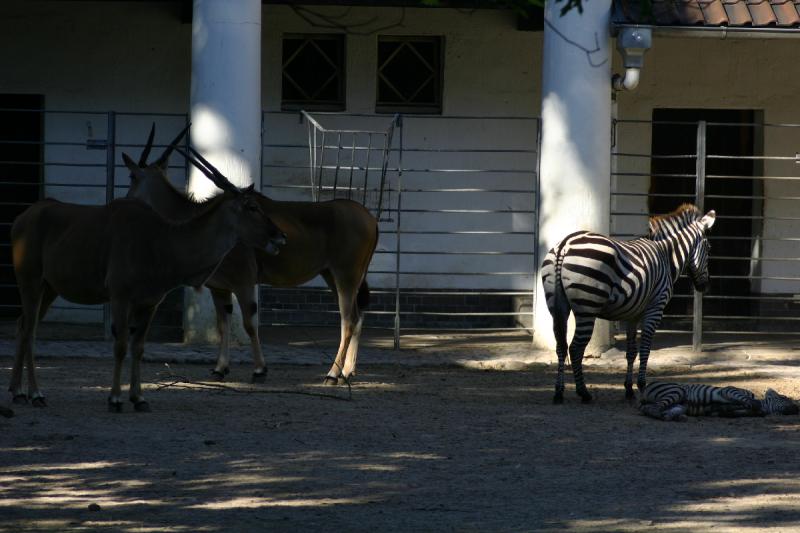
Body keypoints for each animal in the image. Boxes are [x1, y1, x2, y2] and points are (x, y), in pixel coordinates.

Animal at [9, 140, 286, 408]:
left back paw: (18, 392)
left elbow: (139, 347)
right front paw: (115, 399)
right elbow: (121, 345)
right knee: (30, 330)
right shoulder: (120, 296)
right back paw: (36, 394)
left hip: (49, 289)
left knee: (23, 325)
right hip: (30, 281)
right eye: (251, 207)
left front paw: (138, 398)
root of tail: (22, 218)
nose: (280, 236)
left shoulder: (149, 303)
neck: (162, 239)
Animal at [130, 124, 380, 382]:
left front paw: (260, 369)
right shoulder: (219, 288)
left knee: (348, 320)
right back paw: (347, 371)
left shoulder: (244, 282)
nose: (127, 201)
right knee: (357, 316)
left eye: (132, 177)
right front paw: (220, 368)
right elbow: (223, 326)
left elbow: (249, 325)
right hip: (332, 276)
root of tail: (371, 219)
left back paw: (332, 373)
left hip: (345, 276)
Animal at [540, 204, 716, 404]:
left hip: (557, 306)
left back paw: (559, 392)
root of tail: (565, 244)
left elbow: (631, 352)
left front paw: (629, 389)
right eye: (709, 248)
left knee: (561, 347)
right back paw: (583, 392)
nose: (704, 286)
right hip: (587, 307)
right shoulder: (656, 307)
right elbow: (645, 348)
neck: (666, 256)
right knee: (576, 348)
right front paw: (642, 385)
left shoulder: (633, 314)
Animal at [636, 380, 800, 422]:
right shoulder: (729, 390)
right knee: (653, 408)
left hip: (679, 404)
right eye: (785, 397)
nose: (796, 409)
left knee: (651, 409)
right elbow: (750, 402)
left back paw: (676, 417)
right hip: (676, 391)